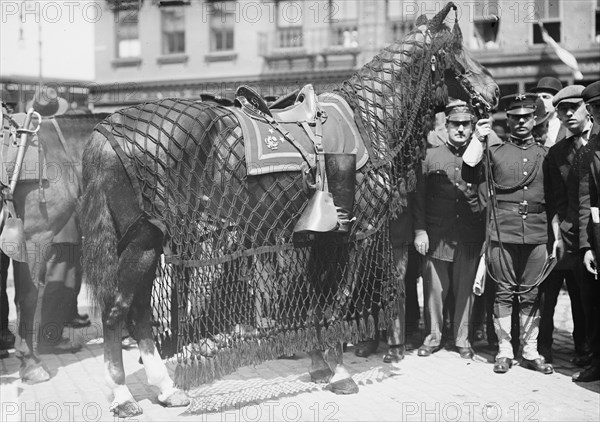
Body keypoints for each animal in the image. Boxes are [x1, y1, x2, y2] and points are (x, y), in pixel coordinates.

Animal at [79, 3, 500, 418]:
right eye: (455, 49)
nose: (494, 90)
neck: (367, 120)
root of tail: (109, 129)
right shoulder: (350, 236)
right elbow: (338, 303)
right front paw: (340, 372)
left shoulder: (314, 240)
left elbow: (314, 301)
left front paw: (318, 364)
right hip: (144, 241)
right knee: (117, 311)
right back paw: (123, 396)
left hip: (146, 241)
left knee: (138, 312)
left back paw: (166, 389)